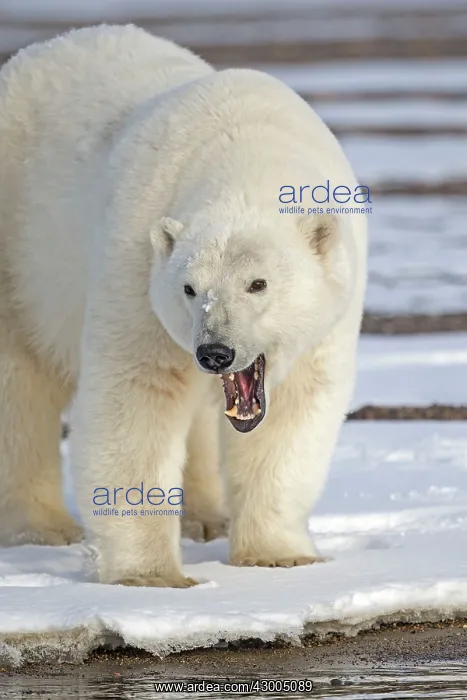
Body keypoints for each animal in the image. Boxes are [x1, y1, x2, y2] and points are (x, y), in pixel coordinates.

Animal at [0, 25, 367, 587]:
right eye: (190, 289)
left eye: (258, 284)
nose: (215, 352)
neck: (248, 155)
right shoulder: (135, 268)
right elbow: (137, 396)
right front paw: (150, 575)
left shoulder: (329, 316)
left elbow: (294, 410)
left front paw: (280, 556)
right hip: (21, 254)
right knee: (21, 383)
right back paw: (42, 527)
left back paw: (207, 517)